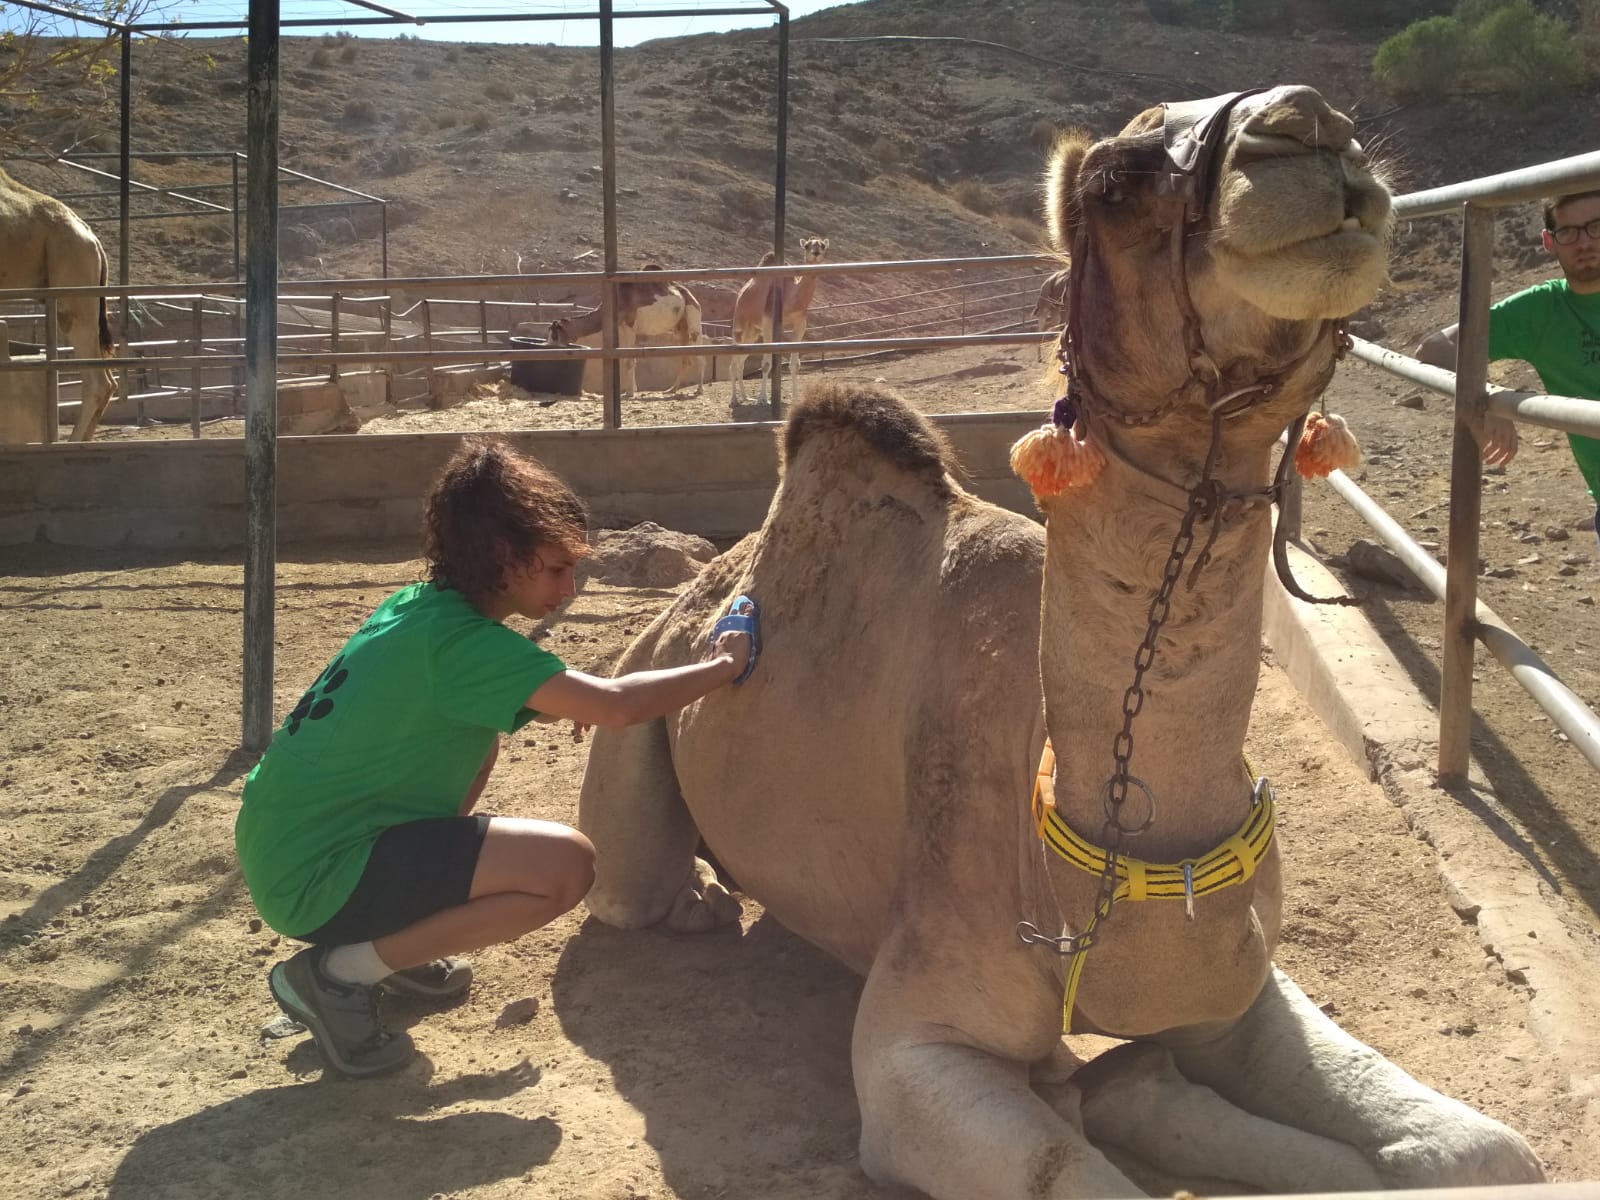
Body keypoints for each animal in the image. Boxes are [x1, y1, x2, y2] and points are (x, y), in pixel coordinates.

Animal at [547, 265, 704, 396]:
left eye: (554, 335)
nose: (549, 349)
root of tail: (686, 293)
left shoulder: (630, 325)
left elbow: (629, 360)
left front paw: (629, 393)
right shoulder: (622, 327)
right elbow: (626, 357)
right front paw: (630, 390)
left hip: (693, 315)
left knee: (699, 354)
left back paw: (698, 390)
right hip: (680, 326)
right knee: (686, 357)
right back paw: (671, 389)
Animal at [726, 236, 825, 412]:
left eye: (823, 246)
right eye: (807, 245)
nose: (816, 252)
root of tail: (742, 292)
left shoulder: (800, 323)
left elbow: (795, 364)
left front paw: (795, 398)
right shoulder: (768, 323)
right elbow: (766, 364)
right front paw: (763, 399)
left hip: (753, 332)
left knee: (741, 362)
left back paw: (745, 397)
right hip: (740, 323)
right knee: (733, 363)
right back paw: (734, 400)